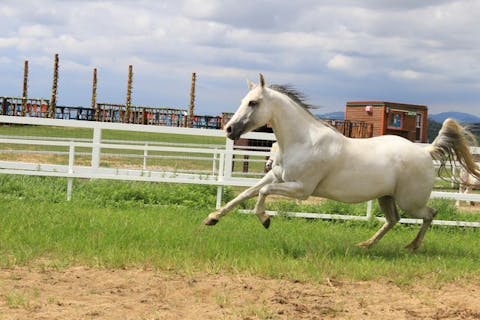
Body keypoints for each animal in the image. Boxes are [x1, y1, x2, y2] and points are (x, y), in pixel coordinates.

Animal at [203, 75, 480, 250]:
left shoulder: (301, 189)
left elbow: (261, 193)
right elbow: (246, 194)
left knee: (429, 214)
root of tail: (426, 152)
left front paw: (265, 219)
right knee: (393, 220)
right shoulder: (276, 176)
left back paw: (411, 247)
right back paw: (366, 244)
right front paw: (212, 218)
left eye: (253, 102)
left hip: (410, 201)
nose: (229, 129)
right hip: (386, 197)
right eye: (243, 100)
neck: (303, 140)